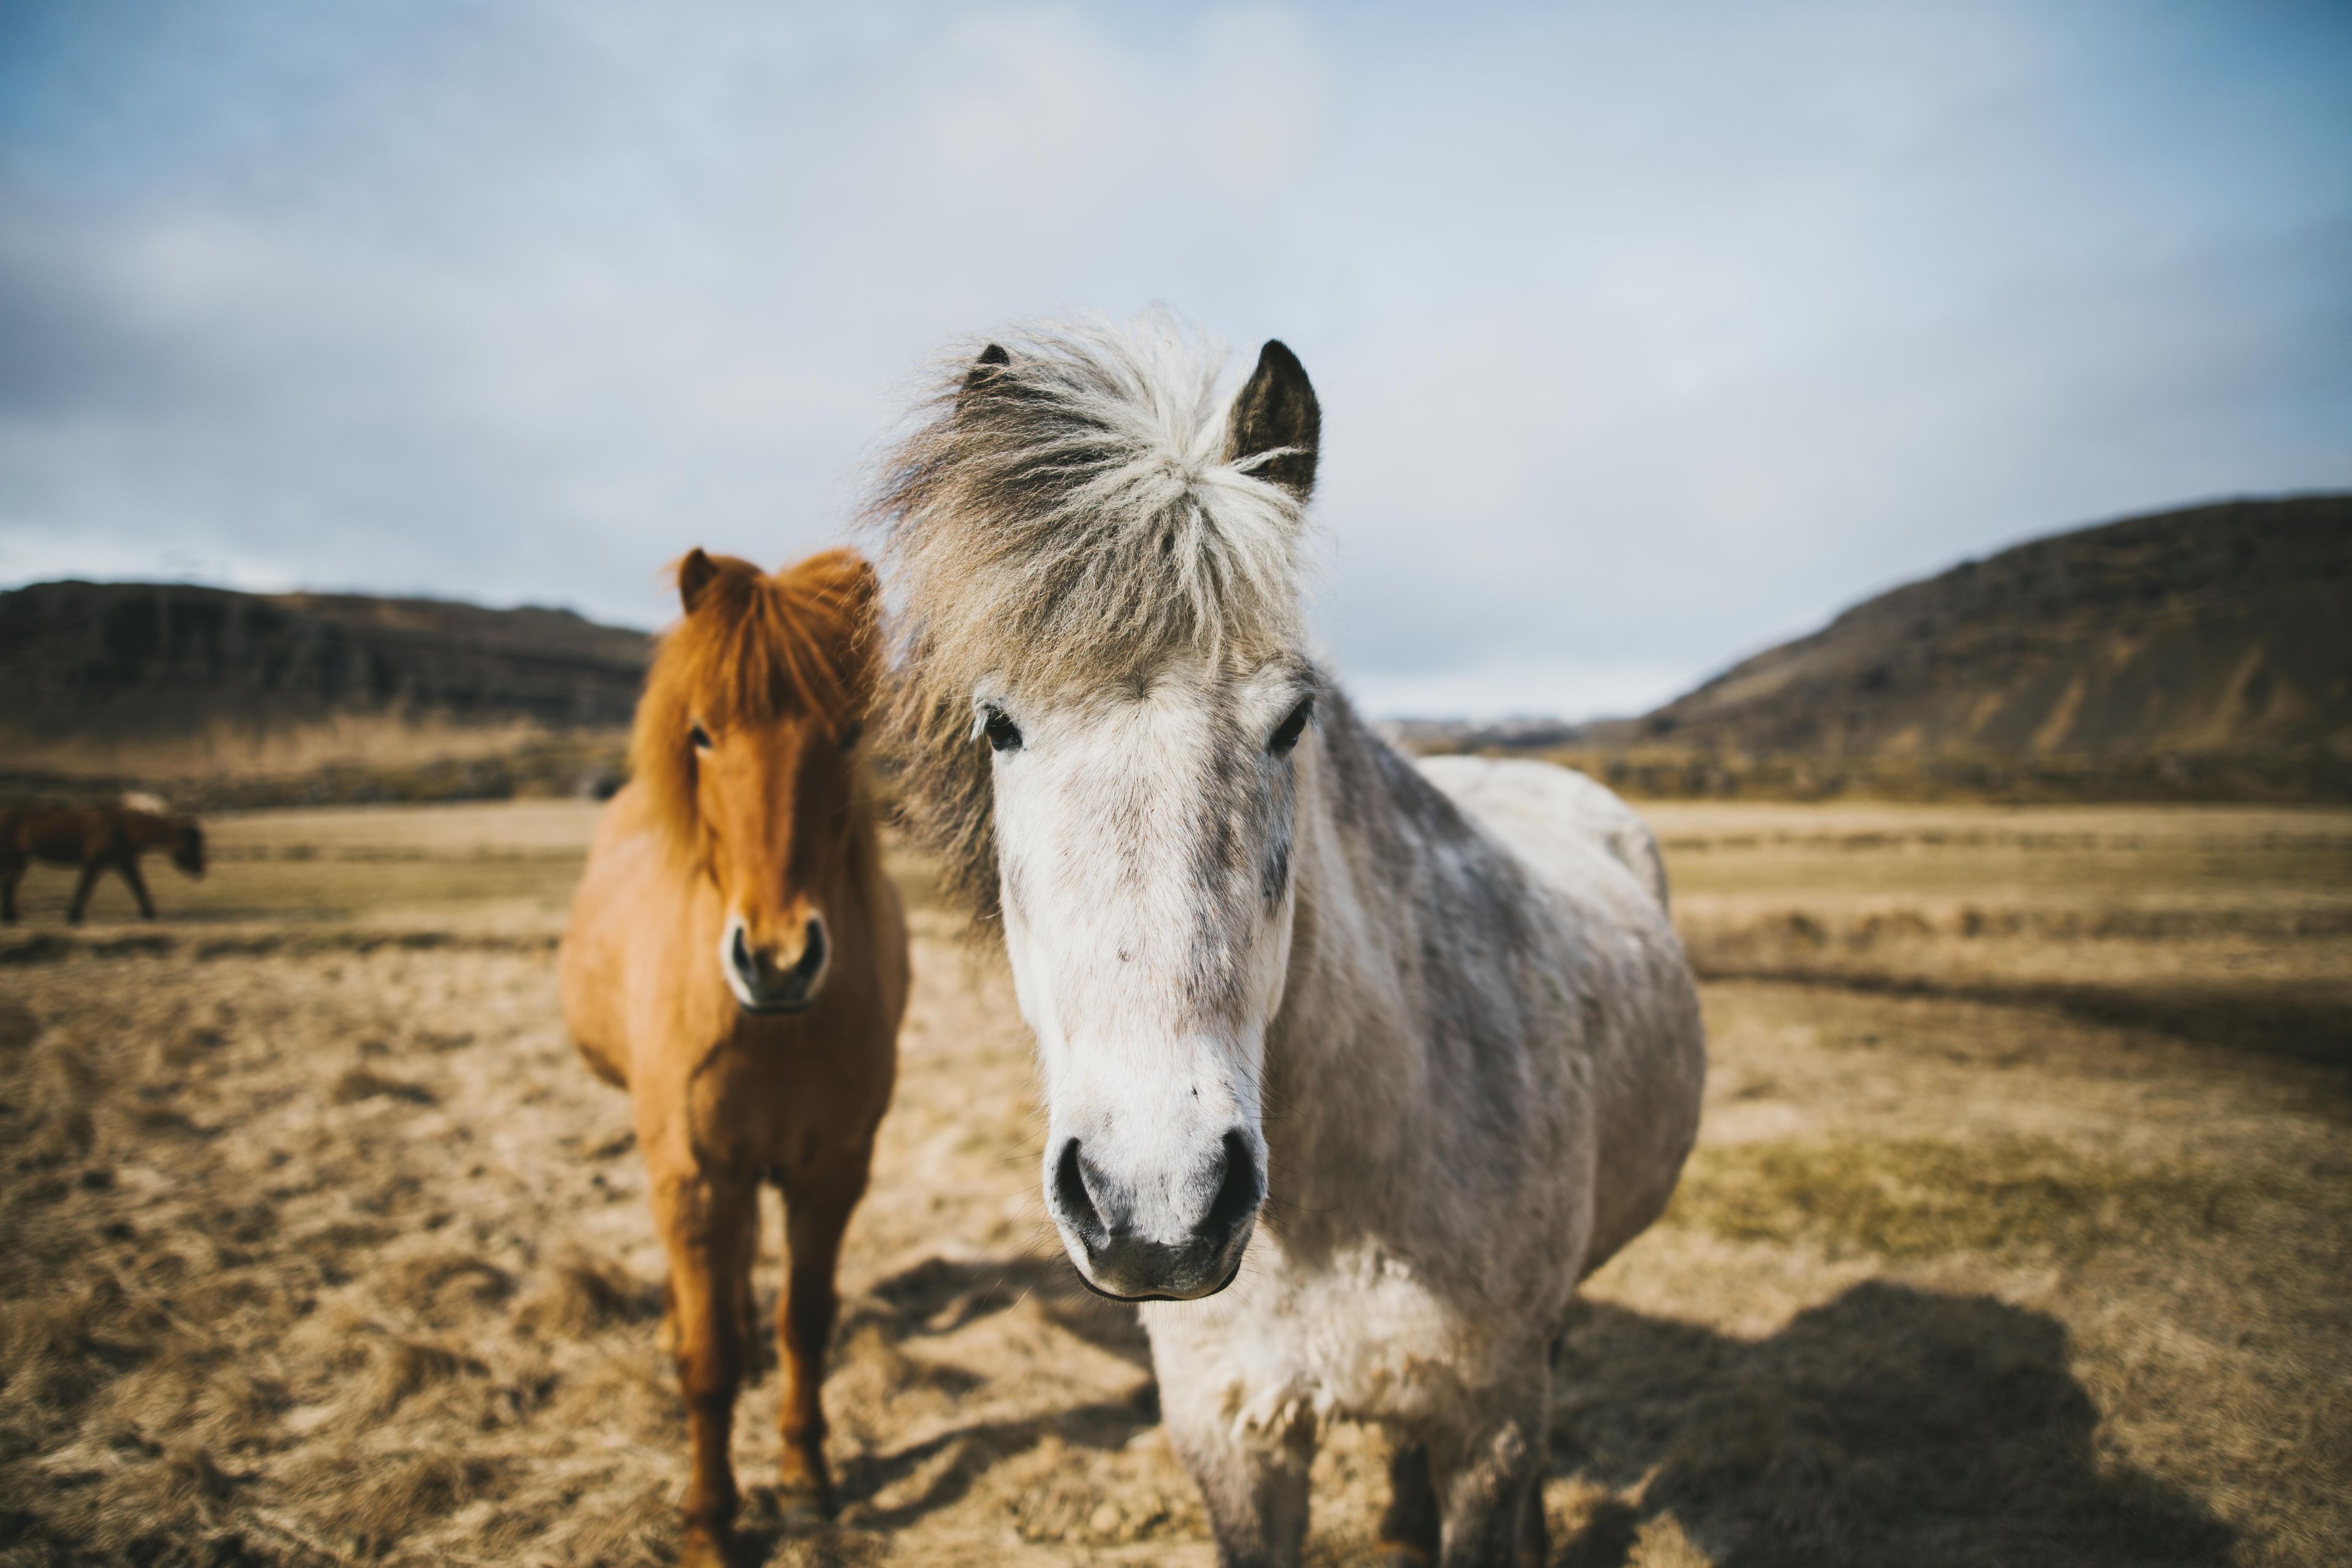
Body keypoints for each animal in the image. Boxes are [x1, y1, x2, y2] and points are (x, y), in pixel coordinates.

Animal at [1, 790, 205, 926]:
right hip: (13, 858)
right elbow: (84, 888)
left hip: (20, 860)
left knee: (10, 884)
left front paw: (150, 913)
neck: (123, 829)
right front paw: (73, 916)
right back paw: (11, 916)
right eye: (190, 845)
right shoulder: (94, 862)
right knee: (10, 884)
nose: (200, 869)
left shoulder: (125, 863)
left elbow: (139, 886)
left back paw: (12, 916)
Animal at [559, 545, 908, 1561]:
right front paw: (710, 1523)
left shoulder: (832, 1172)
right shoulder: (694, 1172)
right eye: (704, 735)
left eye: (847, 734)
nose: (779, 959)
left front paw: (804, 1478)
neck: (776, 1026)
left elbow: (807, 1324)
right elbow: (705, 1363)